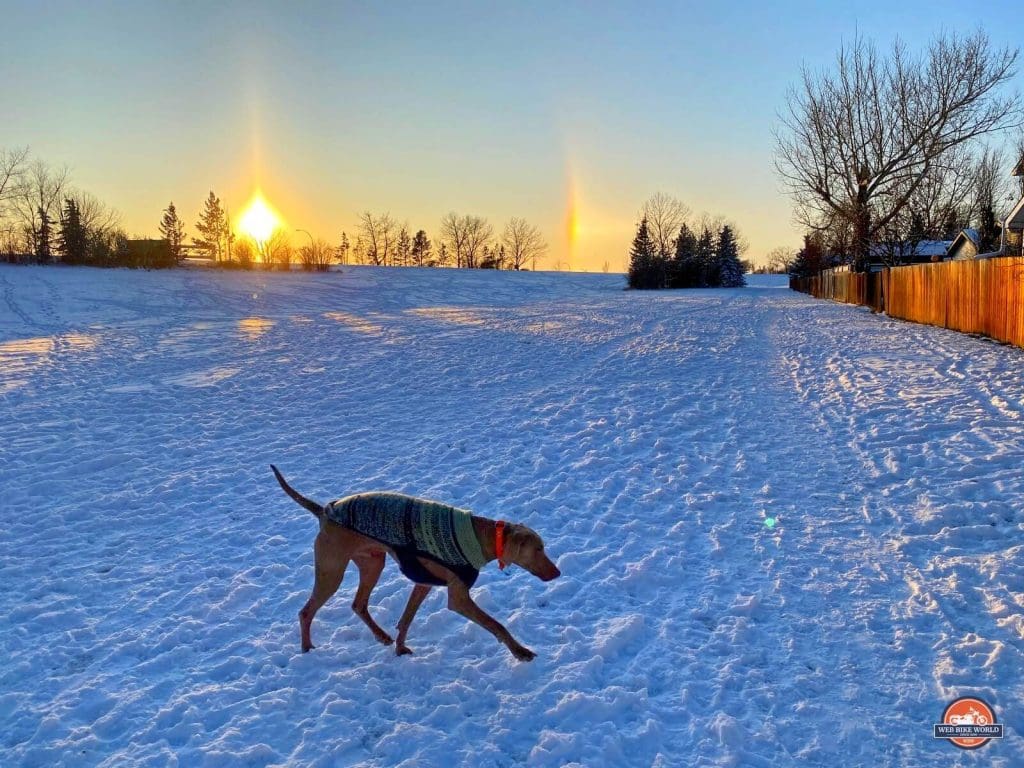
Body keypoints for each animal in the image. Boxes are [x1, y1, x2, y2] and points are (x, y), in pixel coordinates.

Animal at [270, 466, 561, 663]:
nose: (558, 573)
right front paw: (521, 652)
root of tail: (323, 512)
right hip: (332, 571)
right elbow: (497, 625)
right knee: (306, 611)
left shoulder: (423, 583)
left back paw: (382, 636)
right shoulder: (458, 598)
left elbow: (405, 620)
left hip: (373, 562)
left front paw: (400, 649)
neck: (481, 537)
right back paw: (306, 649)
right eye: (538, 549)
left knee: (358, 604)